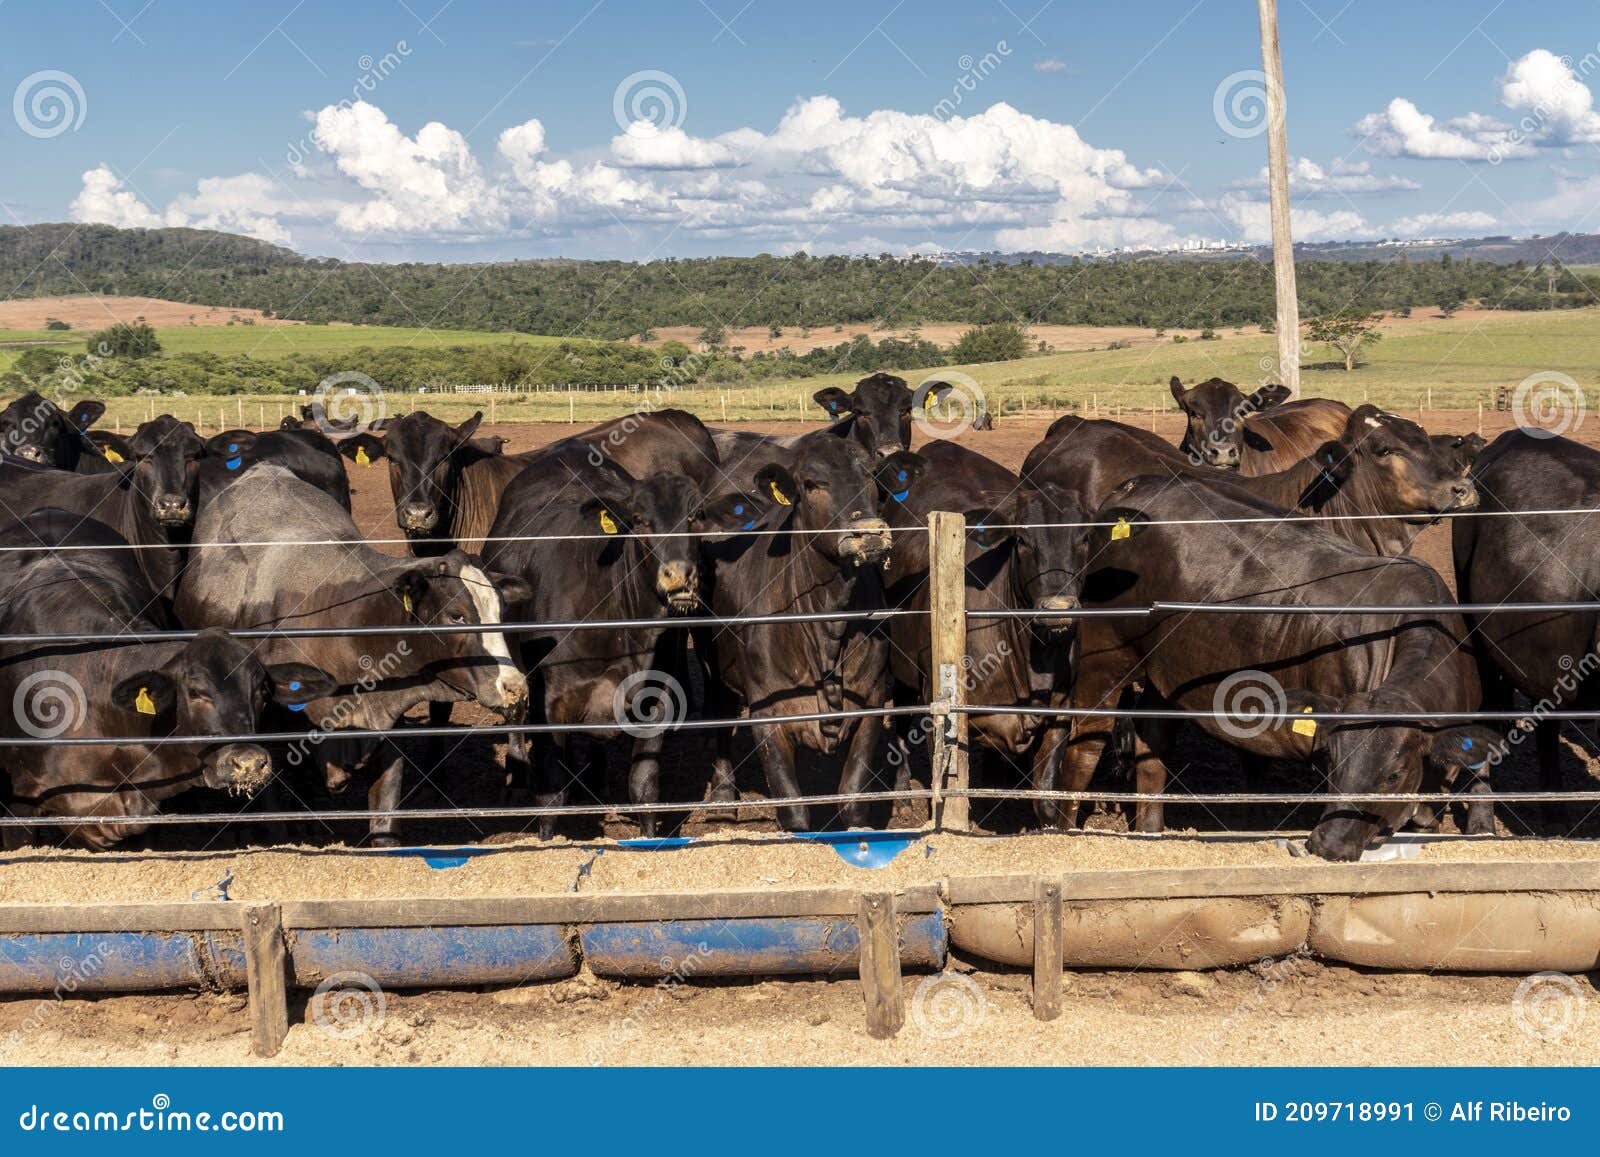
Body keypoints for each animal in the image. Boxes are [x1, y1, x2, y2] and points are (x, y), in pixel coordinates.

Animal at [481, 448, 767, 837]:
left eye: (695, 515)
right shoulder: (551, 703)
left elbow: (643, 784)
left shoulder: (658, 698)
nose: (680, 575)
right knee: (516, 714)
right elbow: (552, 793)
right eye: (639, 519)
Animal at [705, 436, 925, 830]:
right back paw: (723, 796)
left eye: (873, 477)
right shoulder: (767, 713)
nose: (869, 532)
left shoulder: (870, 701)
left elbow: (852, 797)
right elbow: (793, 807)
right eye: (810, 483)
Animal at [883, 440, 1089, 820]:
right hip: (901, 665)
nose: (1058, 610)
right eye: (1022, 540)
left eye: (1084, 538)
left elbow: (1045, 797)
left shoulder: (1061, 713)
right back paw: (902, 796)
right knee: (902, 725)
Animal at [1058, 473, 1496, 858]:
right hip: (1105, 646)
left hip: (1165, 670)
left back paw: (1151, 830)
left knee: (1153, 738)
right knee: (1086, 740)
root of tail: (1136, 485)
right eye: (1332, 765)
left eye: (1393, 774)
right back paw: (1063, 828)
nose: (1328, 846)